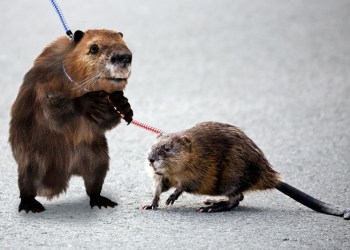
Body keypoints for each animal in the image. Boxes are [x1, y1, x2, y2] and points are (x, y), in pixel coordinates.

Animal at [8, 29, 134, 213]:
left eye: (124, 43)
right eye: (94, 48)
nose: (124, 57)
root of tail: (66, 171)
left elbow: (104, 121)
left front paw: (123, 105)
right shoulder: (47, 80)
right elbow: (50, 106)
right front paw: (87, 102)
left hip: (97, 157)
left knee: (94, 182)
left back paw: (101, 201)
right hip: (33, 159)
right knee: (27, 183)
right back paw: (30, 205)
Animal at [143, 121, 350, 219]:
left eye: (167, 148)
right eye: (152, 146)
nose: (151, 159)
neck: (194, 151)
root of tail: (271, 177)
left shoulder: (200, 167)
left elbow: (187, 184)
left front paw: (172, 197)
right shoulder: (163, 176)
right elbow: (159, 186)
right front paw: (150, 204)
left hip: (232, 175)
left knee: (236, 199)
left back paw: (210, 207)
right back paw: (210, 200)